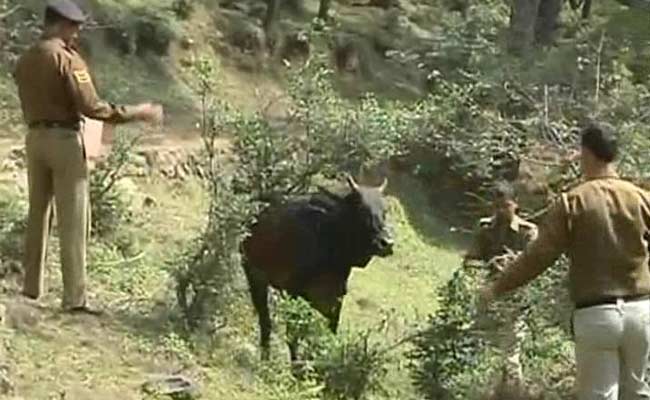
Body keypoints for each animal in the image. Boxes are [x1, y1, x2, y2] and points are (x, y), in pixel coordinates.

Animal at [241, 175, 394, 360]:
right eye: (362, 210)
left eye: (385, 211)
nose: (386, 243)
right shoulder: (295, 293)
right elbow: (293, 335)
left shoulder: (335, 299)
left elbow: (330, 333)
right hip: (254, 275)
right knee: (265, 321)